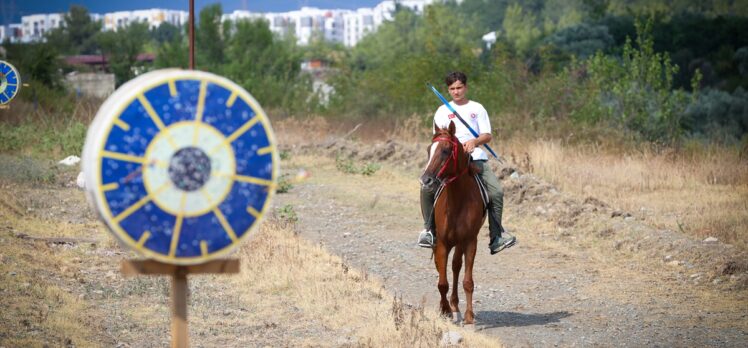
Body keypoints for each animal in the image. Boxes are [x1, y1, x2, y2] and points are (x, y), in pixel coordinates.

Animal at [420, 121, 486, 324]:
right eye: (429, 150)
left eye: (446, 150)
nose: (426, 180)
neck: (458, 200)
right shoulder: (442, 243)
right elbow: (442, 282)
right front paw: (445, 310)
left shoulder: (470, 241)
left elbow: (468, 281)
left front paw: (469, 316)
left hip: (460, 243)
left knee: (456, 266)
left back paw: (456, 305)